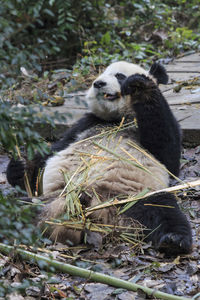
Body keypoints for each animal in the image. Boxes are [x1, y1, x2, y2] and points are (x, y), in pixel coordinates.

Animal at [6, 60, 192, 255]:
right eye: (100, 75)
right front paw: (20, 167)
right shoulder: (86, 124)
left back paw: (173, 240)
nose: (98, 83)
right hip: (51, 198)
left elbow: (168, 154)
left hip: (133, 198)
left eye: (119, 76)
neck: (118, 119)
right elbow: (49, 157)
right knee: (17, 205)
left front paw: (139, 85)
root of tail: (95, 210)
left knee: (162, 211)